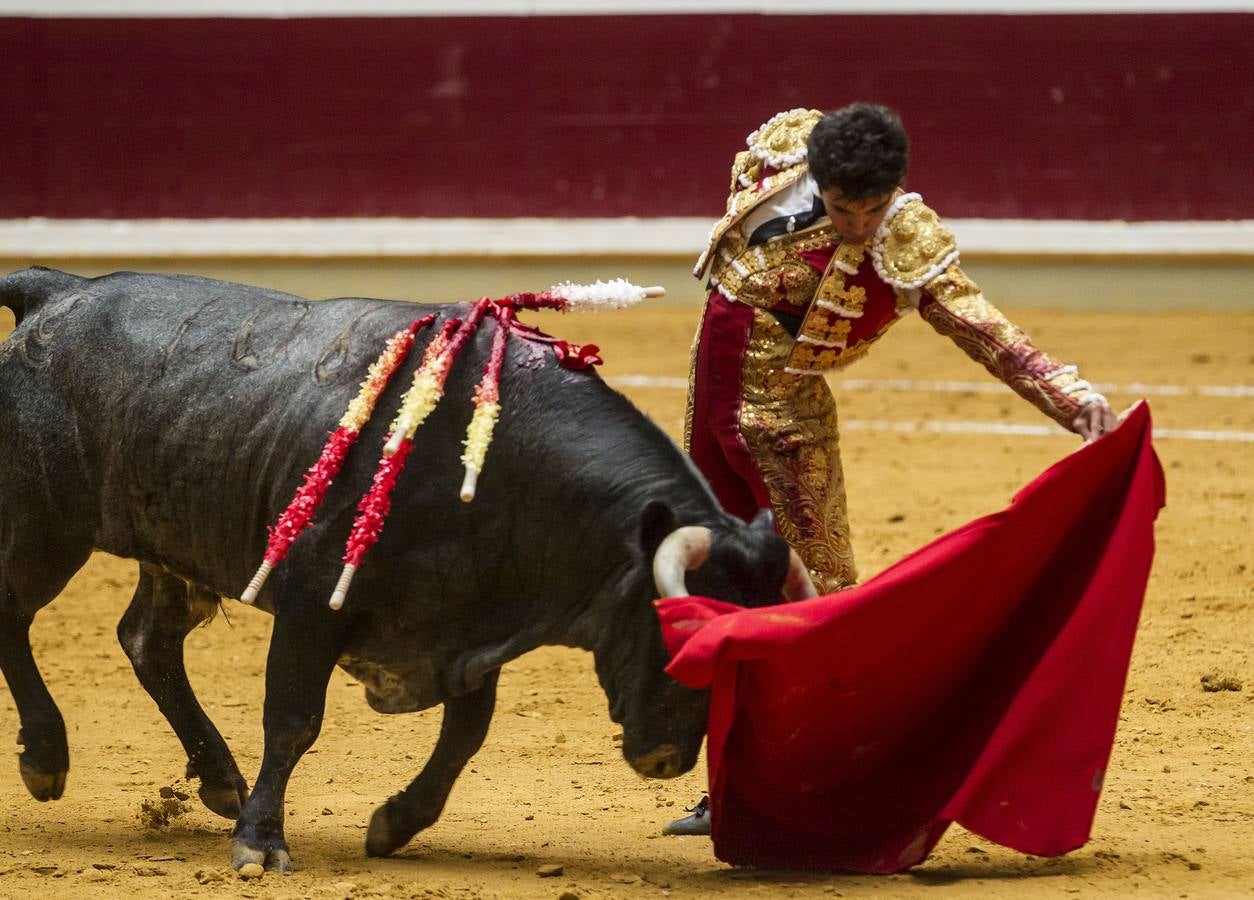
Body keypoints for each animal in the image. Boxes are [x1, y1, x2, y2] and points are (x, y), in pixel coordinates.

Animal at [0, 269, 792, 872]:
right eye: (672, 630)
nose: (667, 759)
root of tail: (59, 292)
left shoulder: (470, 622)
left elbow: (467, 733)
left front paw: (394, 824)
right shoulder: (312, 605)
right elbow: (293, 720)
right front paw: (260, 843)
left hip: (173, 549)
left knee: (148, 640)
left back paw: (219, 780)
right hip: (45, 530)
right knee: (18, 613)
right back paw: (47, 757)